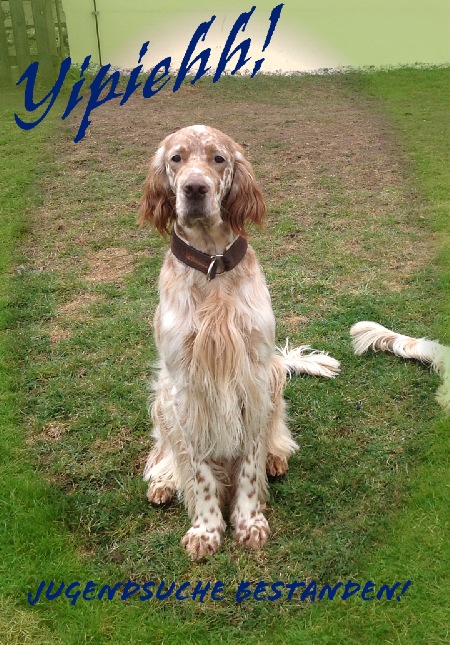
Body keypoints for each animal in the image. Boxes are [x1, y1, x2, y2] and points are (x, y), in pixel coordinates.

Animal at [139, 125, 340, 560]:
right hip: (161, 397)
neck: (212, 270)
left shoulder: (254, 377)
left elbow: (249, 463)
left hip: (275, 376)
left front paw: (249, 522)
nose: (195, 189)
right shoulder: (185, 389)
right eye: (176, 158)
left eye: (219, 159)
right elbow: (198, 471)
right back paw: (164, 480)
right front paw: (206, 529)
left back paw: (275, 458)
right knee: (166, 450)